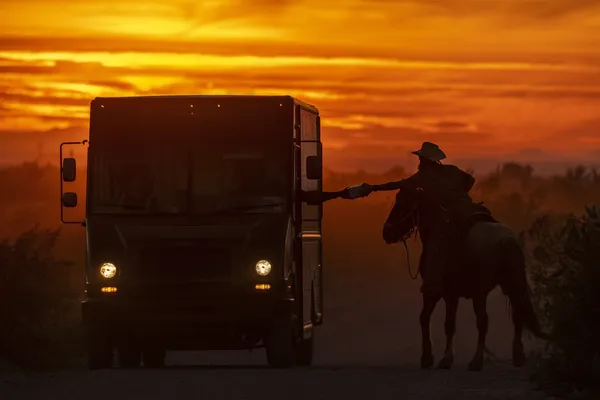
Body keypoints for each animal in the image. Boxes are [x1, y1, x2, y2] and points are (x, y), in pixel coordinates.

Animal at [382, 189, 548, 370]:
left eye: (403, 202)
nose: (387, 232)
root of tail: (506, 239)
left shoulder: (444, 293)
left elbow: (441, 322)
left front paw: (439, 358)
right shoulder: (449, 294)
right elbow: (432, 319)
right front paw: (433, 357)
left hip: (481, 292)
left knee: (484, 321)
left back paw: (477, 360)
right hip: (509, 286)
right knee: (516, 315)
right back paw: (517, 356)